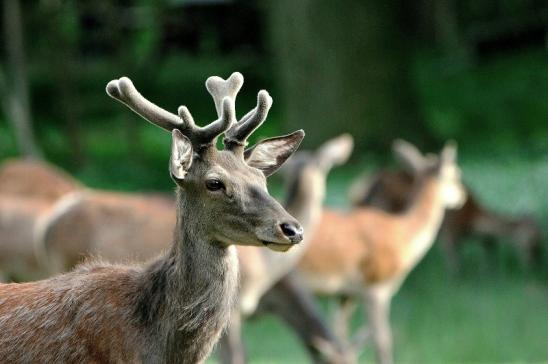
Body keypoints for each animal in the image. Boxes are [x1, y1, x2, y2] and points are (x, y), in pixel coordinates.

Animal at [298, 140, 464, 364]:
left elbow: (341, 335)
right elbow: (383, 340)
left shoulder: (345, 294)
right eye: (456, 175)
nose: (462, 195)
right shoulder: (376, 285)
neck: (403, 234)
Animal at [346, 142, 540, 270]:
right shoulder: (450, 232)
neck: (472, 219)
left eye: (540, 237)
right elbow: (455, 265)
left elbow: (490, 246)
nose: (534, 264)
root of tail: (360, 191)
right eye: (531, 241)